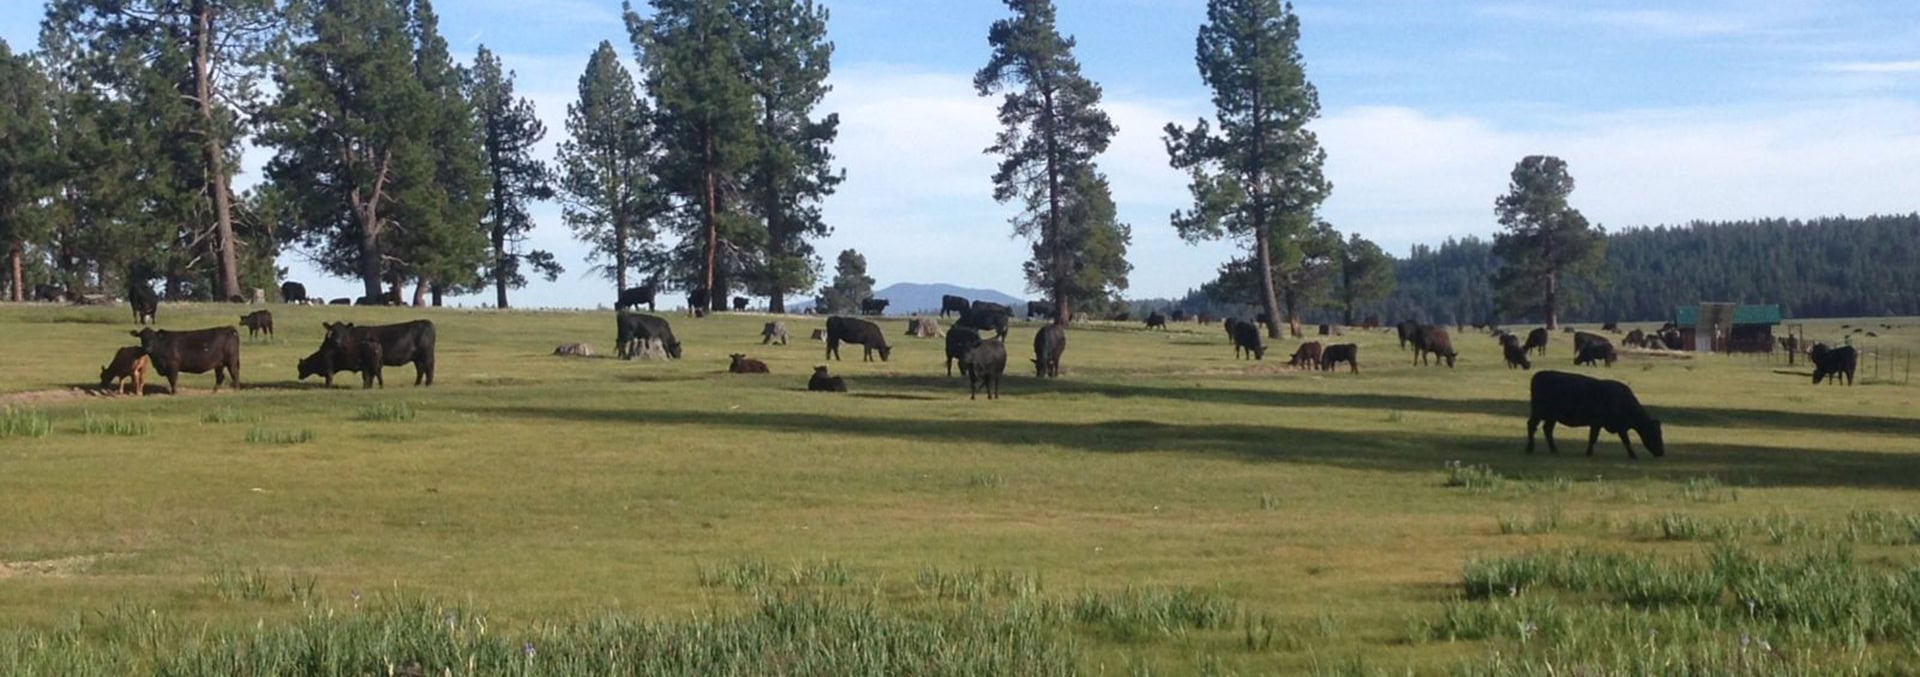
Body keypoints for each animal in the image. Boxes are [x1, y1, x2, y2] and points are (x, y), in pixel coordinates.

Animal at [1526, 370, 1665, 459]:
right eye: (1655, 433)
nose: (1661, 452)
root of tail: (1539, 374)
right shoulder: (1598, 423)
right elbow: (1594, 437)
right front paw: (1589, 453)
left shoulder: (1620, 427)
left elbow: (1625, 440)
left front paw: (1632, 455)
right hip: (1539, 413)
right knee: (1532, 426)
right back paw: (1530, 448)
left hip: (1551, 417)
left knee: (1547, 429)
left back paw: (1554, 450)